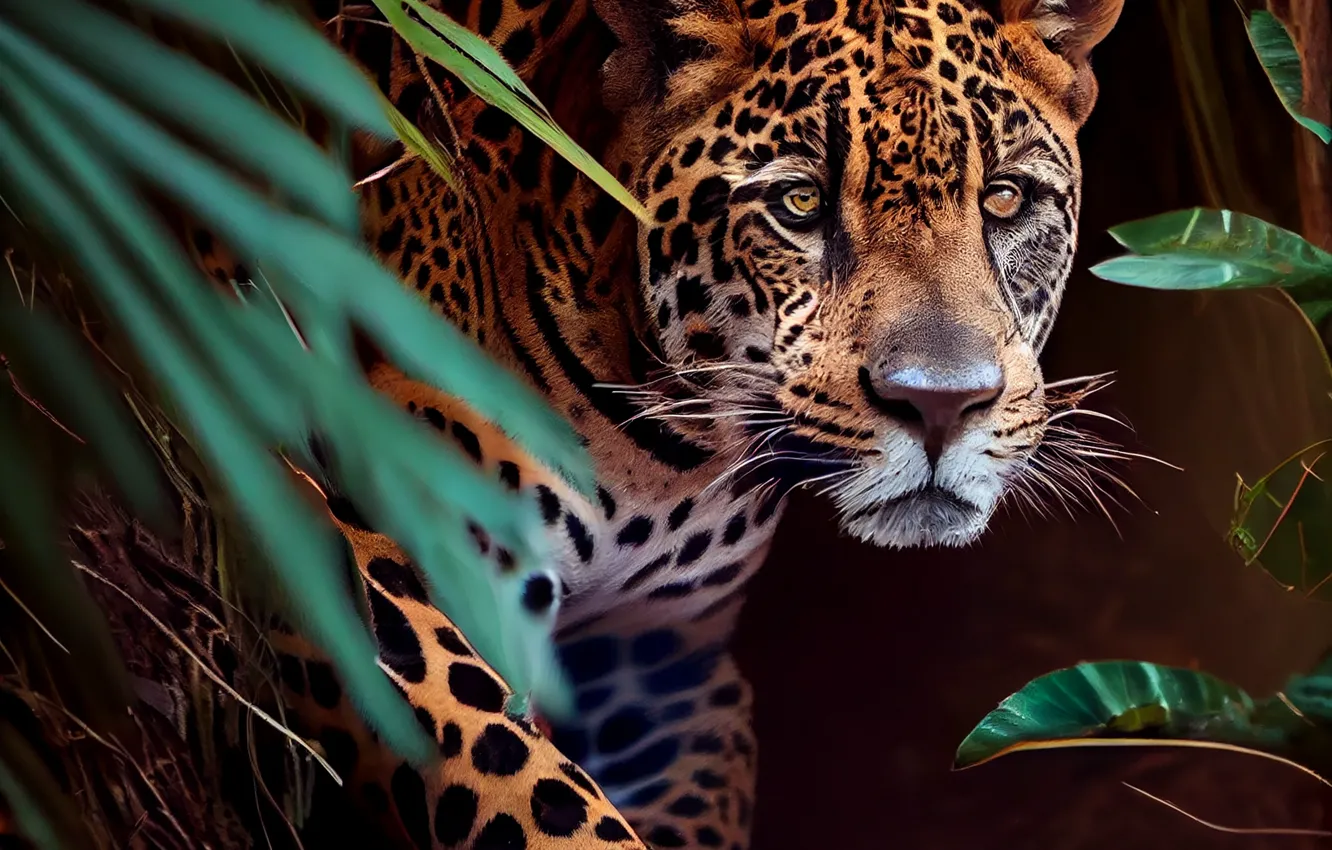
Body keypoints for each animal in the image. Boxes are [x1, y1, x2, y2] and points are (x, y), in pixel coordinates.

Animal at [189, 0, 1127, 847]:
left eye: (1004, 199)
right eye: (799, 202)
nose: (941, 404)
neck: (659, 450)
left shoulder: (661, 670)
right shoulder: (342, 540)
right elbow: (527, 791)